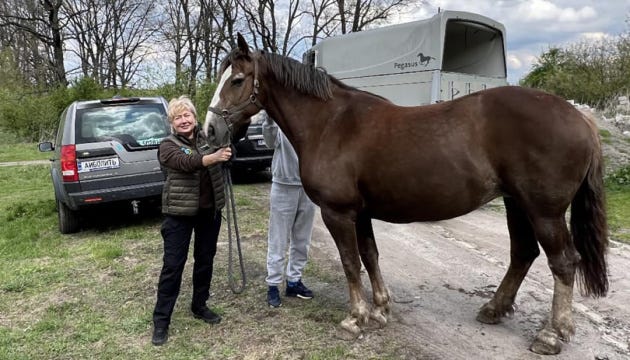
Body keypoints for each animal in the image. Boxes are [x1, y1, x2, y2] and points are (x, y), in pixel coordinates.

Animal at [209, 33, 612, 354]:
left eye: (238, 80)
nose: (211, 130)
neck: (331, 123)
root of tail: (581, 118)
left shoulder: (338, 212)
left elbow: (350, 262)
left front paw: (356, 318)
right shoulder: (361, 212)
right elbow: (370, 256)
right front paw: (381, 309)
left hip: (544, 211)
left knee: (563, 263)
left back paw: (552, 334)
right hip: (517, 204)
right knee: (523, 254)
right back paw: (494, 310)